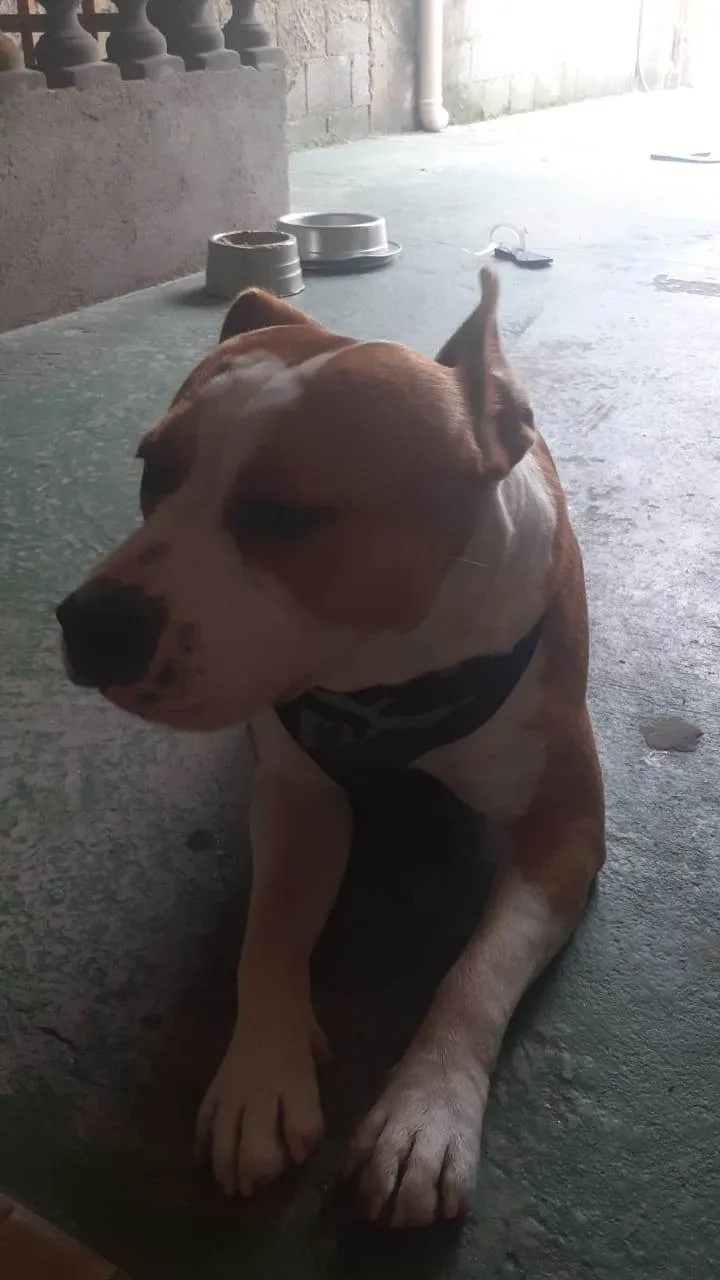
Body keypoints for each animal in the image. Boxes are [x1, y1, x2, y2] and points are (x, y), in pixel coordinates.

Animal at [56, 270, 605, 1228]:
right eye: (152, 471)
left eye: (285, 515)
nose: (90, 623)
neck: (389, 671)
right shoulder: (296, 794)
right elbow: (269, 928)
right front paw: (258, 1075)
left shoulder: (565, 829)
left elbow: (477, 972)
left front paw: (427, 1112)